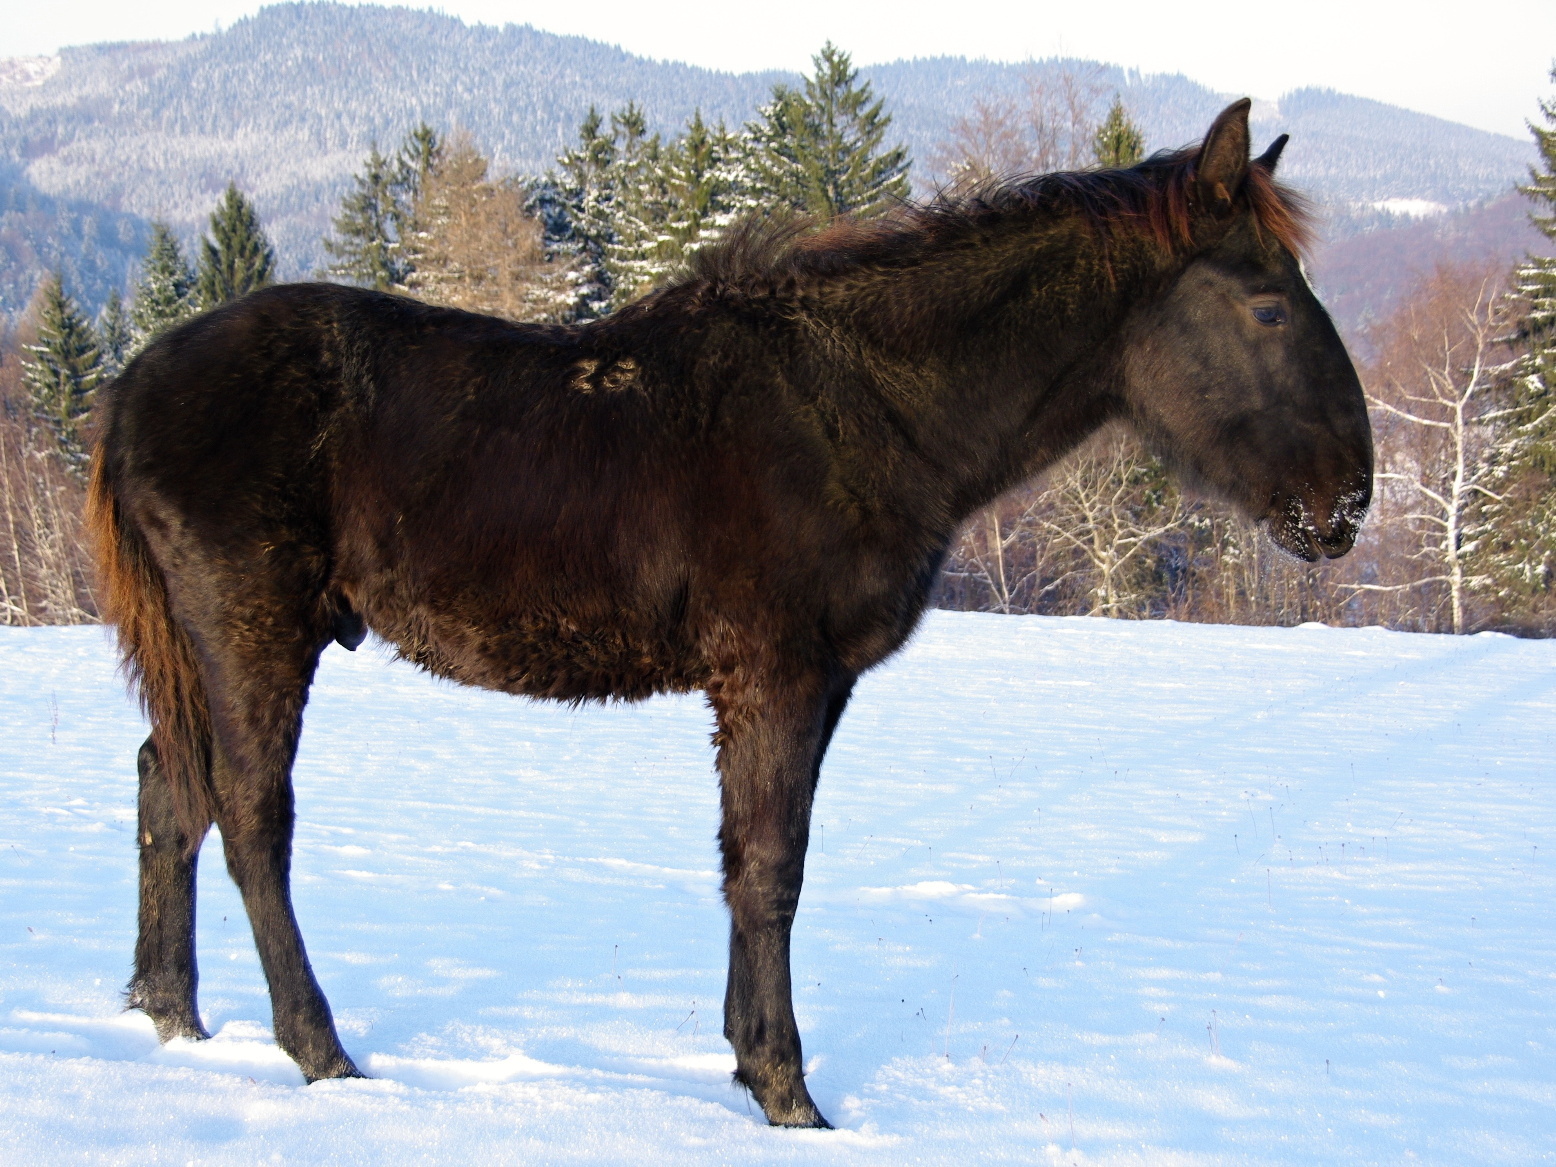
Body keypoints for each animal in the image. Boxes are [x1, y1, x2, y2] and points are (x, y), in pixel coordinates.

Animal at [91, 102, 1369, 1132]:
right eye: (1265, 306)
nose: (1348, 498)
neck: (862, 408)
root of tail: (137, 381)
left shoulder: (815, 682)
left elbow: (754, 862)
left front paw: (751, 1063)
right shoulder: (774, 674)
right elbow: (769, 869)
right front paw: (785, 1090)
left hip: (208, 642)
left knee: (171, 788)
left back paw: (171, 1017)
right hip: (255, 628)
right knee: (251, 816)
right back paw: (320, 1054)